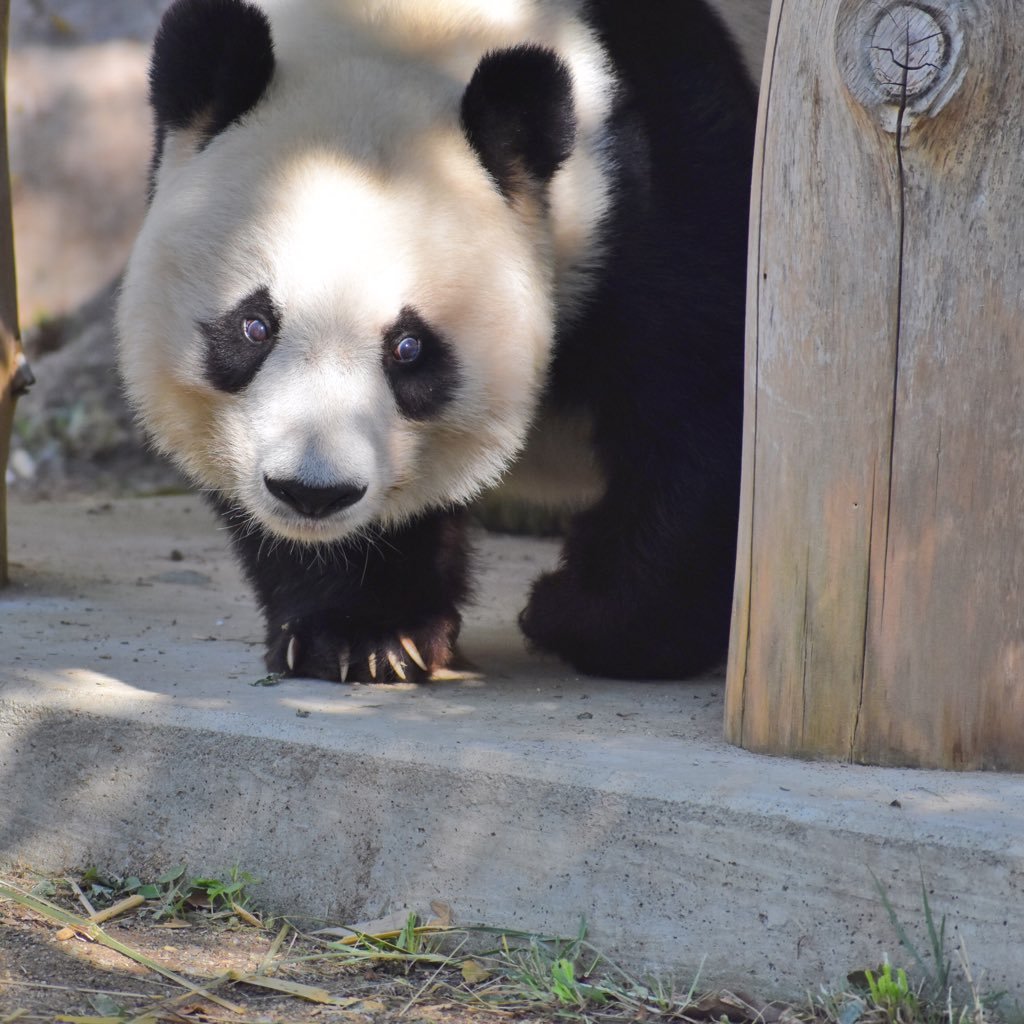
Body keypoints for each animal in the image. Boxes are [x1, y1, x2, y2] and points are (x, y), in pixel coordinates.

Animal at [117, 2, 761, 688]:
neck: (403, 31)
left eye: (409, 348)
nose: (312, 493)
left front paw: (579, 617)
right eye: (255, 327)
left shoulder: (651, 193)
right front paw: (366, 631)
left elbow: (705, 414)